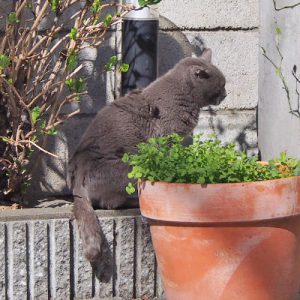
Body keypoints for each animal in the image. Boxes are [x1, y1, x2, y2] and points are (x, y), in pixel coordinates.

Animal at [68, 48, 226, 262]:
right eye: (220, 86)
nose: (225, 94)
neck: (183, 95)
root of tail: (77, 181)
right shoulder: (167, 138)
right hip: (126, 167)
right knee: (110, 202)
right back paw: (136, 201)